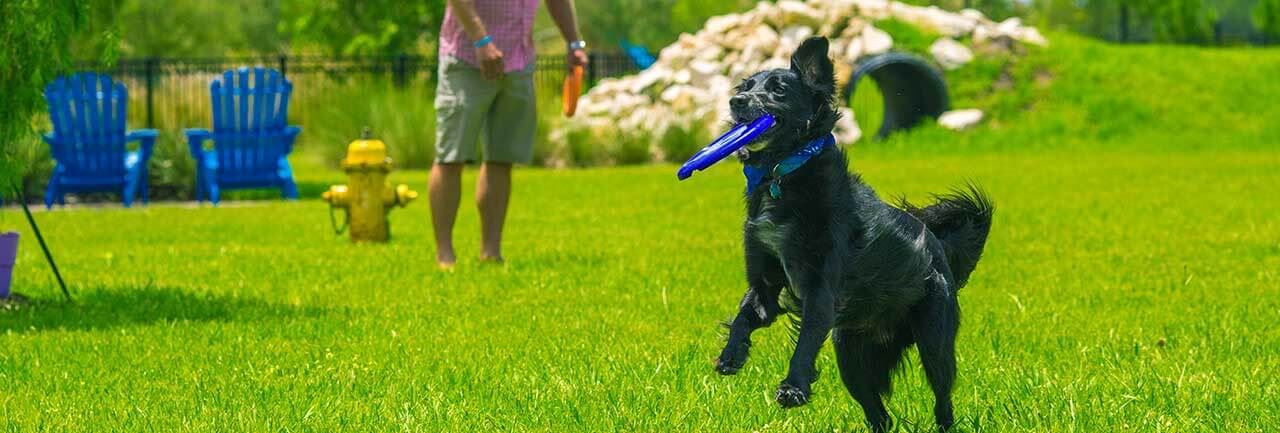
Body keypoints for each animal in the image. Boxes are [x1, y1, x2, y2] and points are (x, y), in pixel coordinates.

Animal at [716, 35, 993, 430]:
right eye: (746, 86)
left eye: (779, 89)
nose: (735, 102)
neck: (783, 174)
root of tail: (936, 246)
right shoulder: (765, 285)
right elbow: (743, 316)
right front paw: (731, 355)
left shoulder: (821, 289)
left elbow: (805, 342)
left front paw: (793, 388)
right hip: (850, 355)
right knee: (880, 415)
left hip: (934, 340)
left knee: (943, 399)